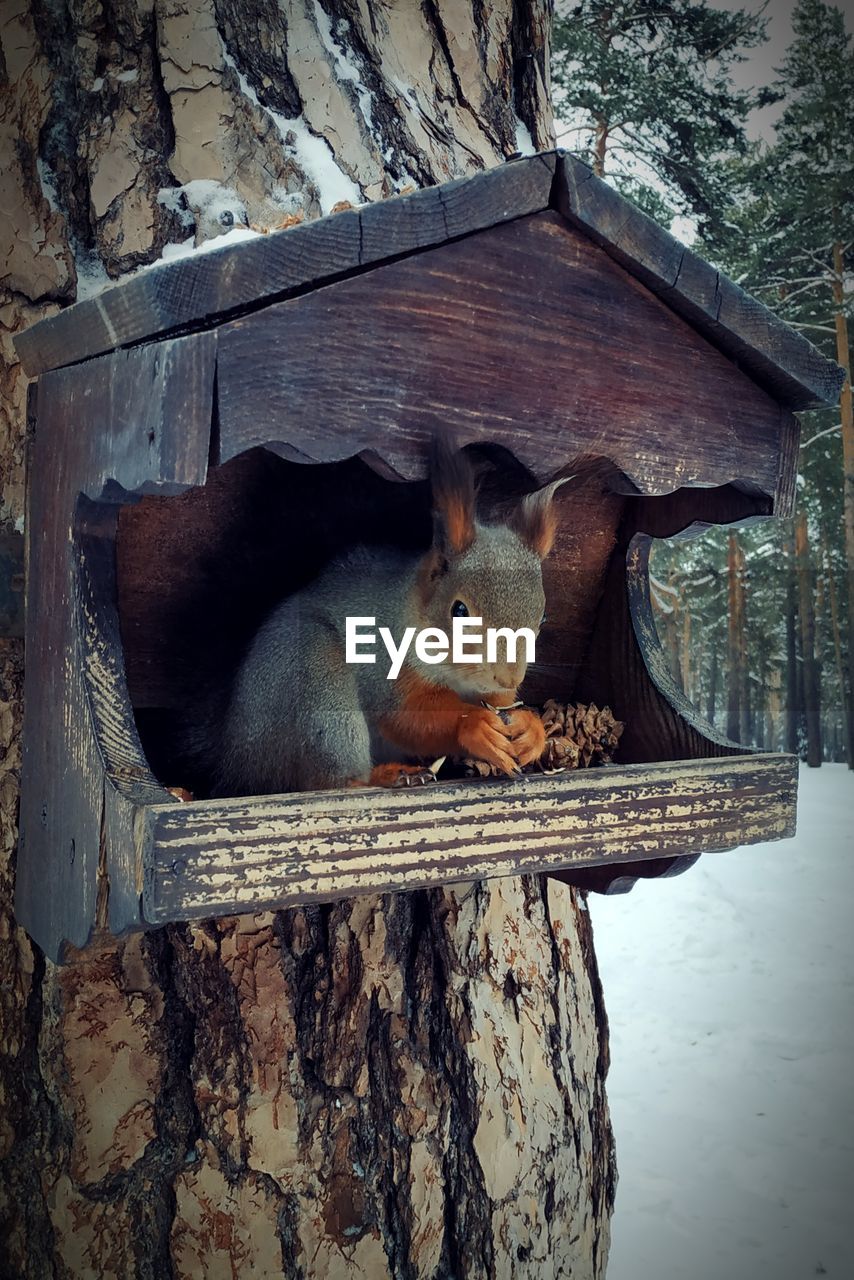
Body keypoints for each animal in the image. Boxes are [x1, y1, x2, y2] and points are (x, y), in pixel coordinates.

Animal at [207, 442, 571, 798]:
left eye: (542, 616)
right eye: (459, 610)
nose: (508, 678)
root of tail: (235, 762)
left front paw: (530, 729)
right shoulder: (385, 665)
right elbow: (403, 717)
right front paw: (474, 725)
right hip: (316, 677)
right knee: (330, 780)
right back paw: (393, 775)